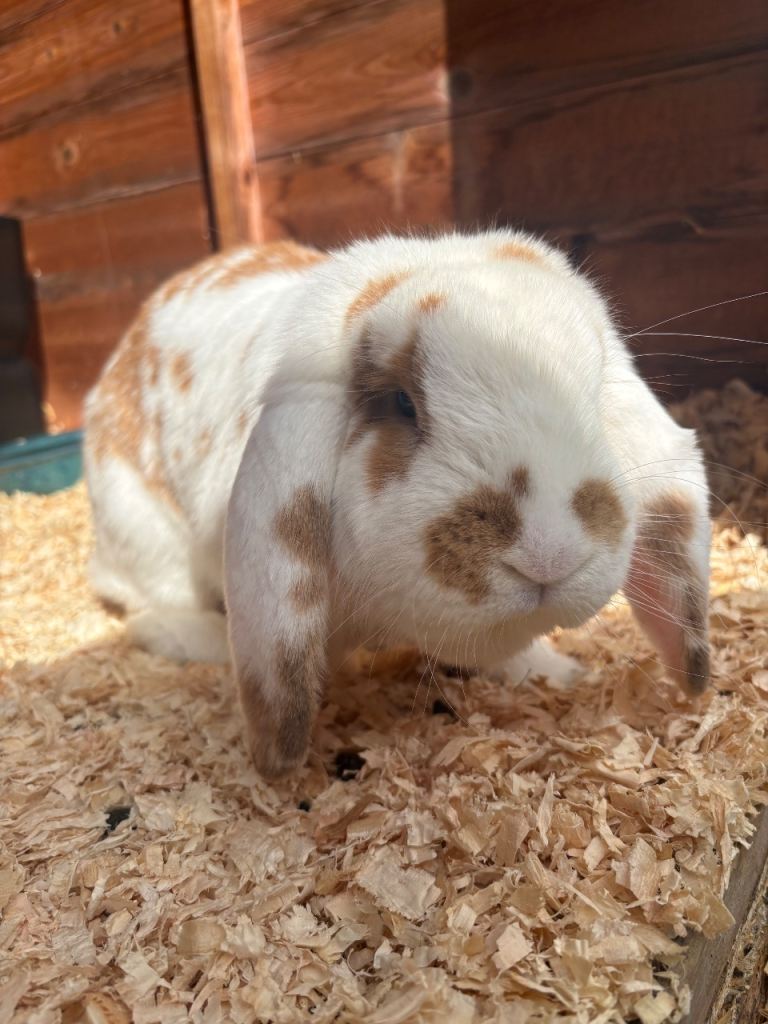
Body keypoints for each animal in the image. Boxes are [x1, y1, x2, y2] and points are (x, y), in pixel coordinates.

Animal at [84, 231, 711, 778]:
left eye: (596, 388)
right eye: (403, 404)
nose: (549, 553)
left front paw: (560, 672)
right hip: (142, 532)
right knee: (146, 605)